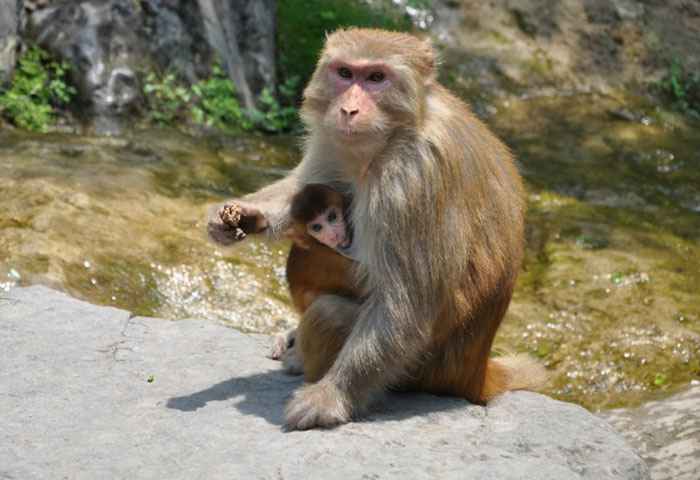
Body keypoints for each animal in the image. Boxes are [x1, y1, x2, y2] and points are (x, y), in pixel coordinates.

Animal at [208, 28, 546, 430]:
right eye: (344, 73)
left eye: (375, 78)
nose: (348, 110)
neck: (396, 132)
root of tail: (473, 375)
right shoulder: (334, 139)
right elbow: (306, 188)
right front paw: (240, 217)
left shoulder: (412, 174)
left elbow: (407, 304)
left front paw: (330, 397)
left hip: (419, 369)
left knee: (329, 313)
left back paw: (300, 360)